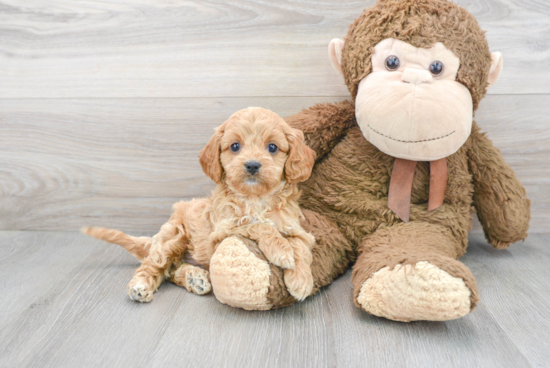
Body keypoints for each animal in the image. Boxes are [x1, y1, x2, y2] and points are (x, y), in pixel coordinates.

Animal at [82, 108, 316, 304]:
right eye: (235, 146)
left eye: (272, 147)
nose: (251, 165)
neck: (255, 198)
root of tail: (155, 239)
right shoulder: (221, 232)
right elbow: (255, 225)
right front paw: (281, 250)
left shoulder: (297, 229)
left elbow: (300, 246)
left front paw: (301, 280)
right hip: (175, 237)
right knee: (155, 264)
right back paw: (140, 286)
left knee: (171, 271)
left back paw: (196, 279)